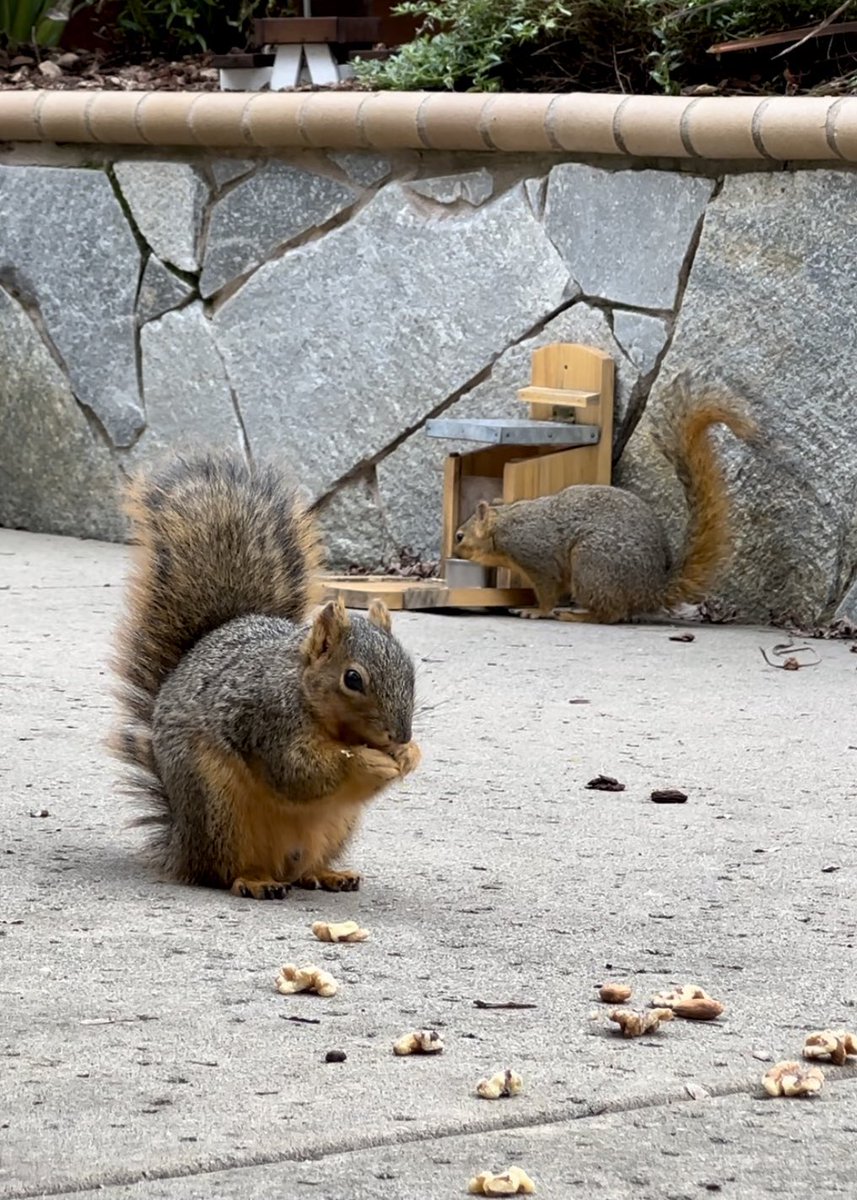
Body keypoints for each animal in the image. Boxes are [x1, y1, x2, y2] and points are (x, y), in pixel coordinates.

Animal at [111, 453, 421, 900]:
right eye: (353, 679)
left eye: (411, 669)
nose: (401, 735)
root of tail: (183, 845)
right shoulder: (265, 719)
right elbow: (297, 770)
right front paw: (366, 760)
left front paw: (410, 755)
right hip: (219, 808)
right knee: (225, 871)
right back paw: (256, 881)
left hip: (335, 826)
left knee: (306, 868)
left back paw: (330, 874)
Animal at [453, 378, 757, 624]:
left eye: (459, 536)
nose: (454, 553)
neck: (502, 527)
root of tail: (650, 590)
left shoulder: (536, 557)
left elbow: (549, 591)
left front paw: (536, 610)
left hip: (591, 563)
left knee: (610, 614)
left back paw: (575, 615)